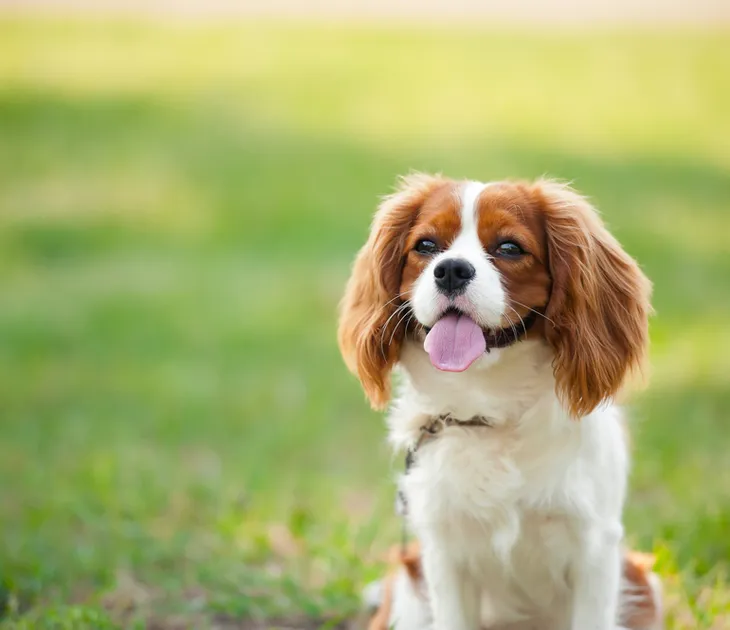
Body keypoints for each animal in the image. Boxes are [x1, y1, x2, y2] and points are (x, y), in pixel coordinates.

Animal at [340, 177, 656, 630]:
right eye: (426, 245)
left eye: (509, 247)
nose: (451, 269)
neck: (489, 410)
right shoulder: (443, 552)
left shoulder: (595, 549)